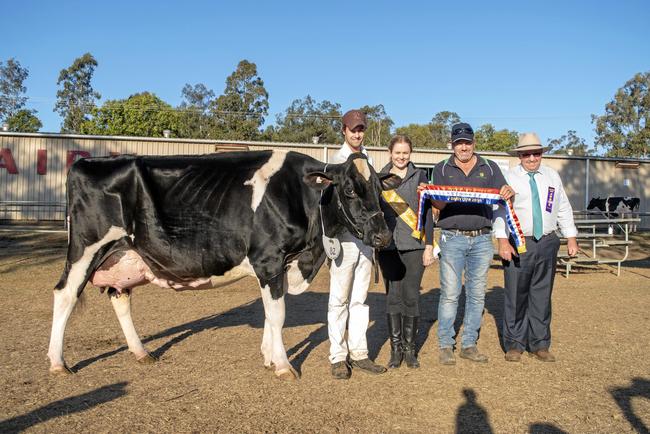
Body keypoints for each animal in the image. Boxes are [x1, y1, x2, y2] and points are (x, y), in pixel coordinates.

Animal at [48, 150, 398, 380]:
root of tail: (86, 162)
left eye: (380, 189)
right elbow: (278, 314)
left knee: (119, 297)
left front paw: (268, 357)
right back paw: (58, 362)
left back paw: (141, 353)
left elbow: (270, 312)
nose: (382, 235)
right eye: (349, 189)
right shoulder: (268, 259)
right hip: (85, 249)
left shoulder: (279, 265)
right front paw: (283, 366)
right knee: (65, 294)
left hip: (124, 254)